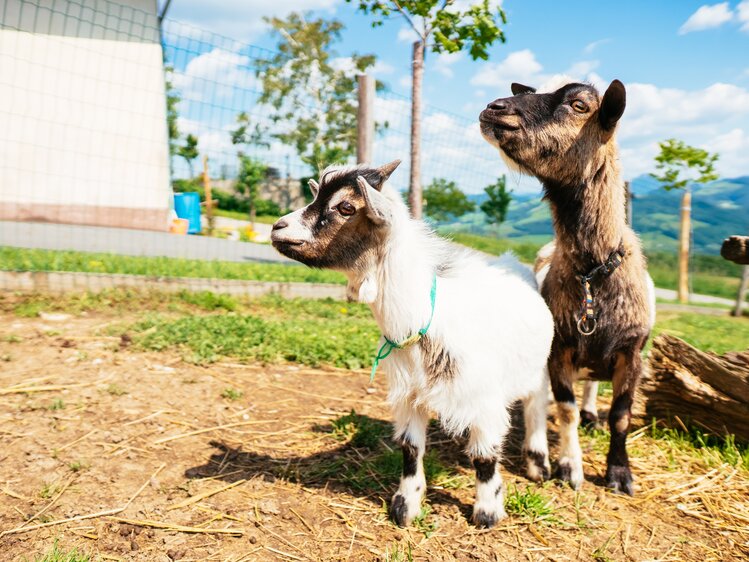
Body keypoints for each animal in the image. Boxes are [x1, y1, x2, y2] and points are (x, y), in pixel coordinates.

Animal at [272, 161, 552, 524]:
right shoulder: (409, 396)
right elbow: (410, 447)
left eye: (345, 207)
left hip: (539, 369)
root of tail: (511, 261)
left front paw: (487, 512)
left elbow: (484, 457)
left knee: (536, 407)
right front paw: (406, 505)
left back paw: (538, 463)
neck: (426, 319)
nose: (277, 227)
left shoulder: (485, 400)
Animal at [480, 80, 656, 494]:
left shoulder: (631, 353)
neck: (594, 274)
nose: (494, 108)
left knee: (592, 386)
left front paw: (620, 474)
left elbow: (621, 416)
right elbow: (565, 410)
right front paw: (569, 467)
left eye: (578, 104)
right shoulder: (559, 350)